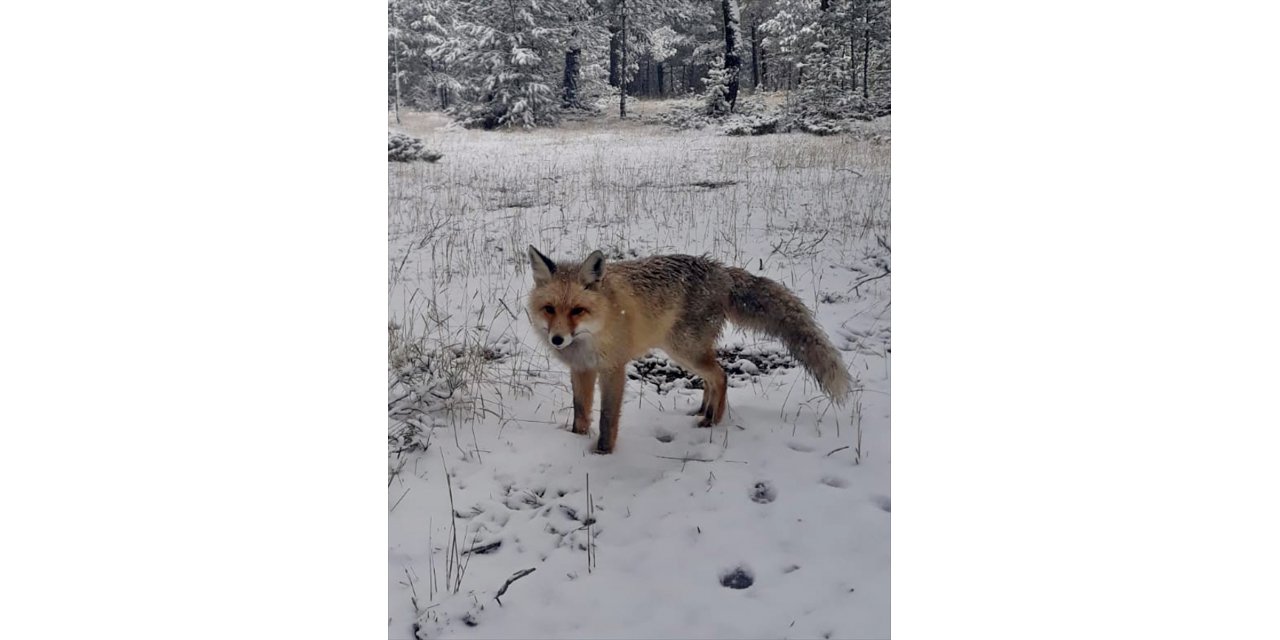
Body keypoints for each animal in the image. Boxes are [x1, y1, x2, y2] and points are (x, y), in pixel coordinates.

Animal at [524, 245, 855, 455]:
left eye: (577, 311)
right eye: (549, 309)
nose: (557, 339)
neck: (594, 332)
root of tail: (722, 271)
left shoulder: (612, 369)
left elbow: (607, 418)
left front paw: (603, 453)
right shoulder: (581, 369)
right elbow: (581, 413)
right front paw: (575, 441)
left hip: (684, 349)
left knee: (721, 375)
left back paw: (713, 420)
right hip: (686, 351)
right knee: (712, 377)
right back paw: (704, 410)